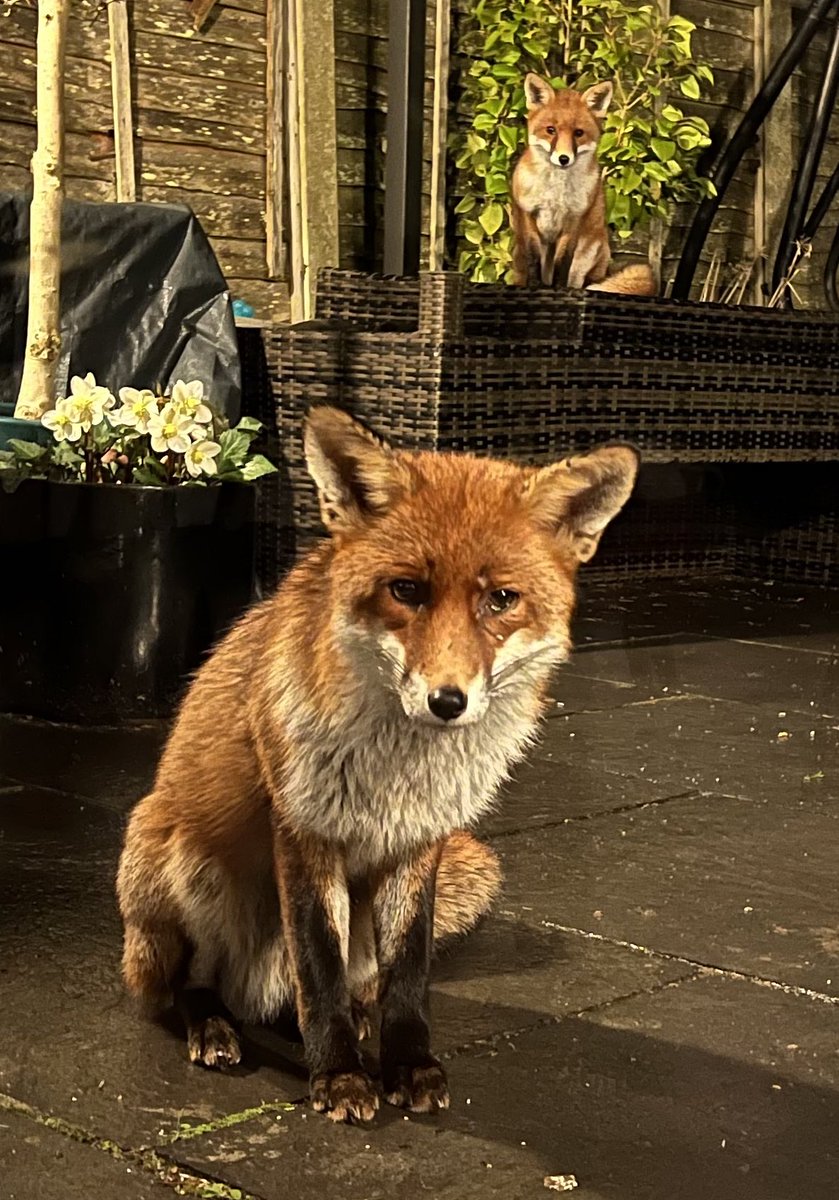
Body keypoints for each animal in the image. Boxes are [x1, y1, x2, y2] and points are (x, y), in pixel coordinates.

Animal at [116, 410, 638, 1123]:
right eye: (406, 591)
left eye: (501, 599)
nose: (448, 701)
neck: (399, 773)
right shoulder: (304, 833)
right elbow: (319, 970)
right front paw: (338, 1074)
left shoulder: (419, 842)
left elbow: (408, 974)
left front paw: (408, 1064)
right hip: (183, 864)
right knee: (186, 984)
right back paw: (216, 1025)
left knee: (318, 994)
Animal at [508, 72, 657, 297]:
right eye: (551, 130)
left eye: (578, 133)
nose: (563, 159)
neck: (555, 195)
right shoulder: (529, 216)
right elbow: (533, 258)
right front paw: (533, 286)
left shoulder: (574, 220)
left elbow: (563, 262)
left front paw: (560, 289)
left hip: (589, 253)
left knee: (583, 279)